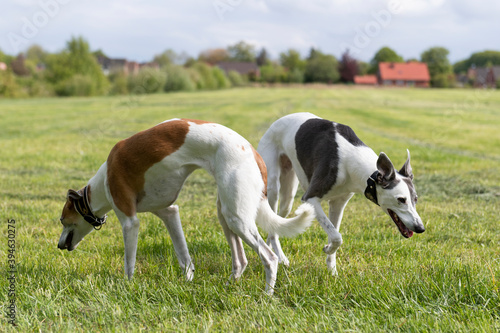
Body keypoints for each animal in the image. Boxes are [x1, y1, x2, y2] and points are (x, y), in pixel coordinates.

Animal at [57, 117, 312, 294]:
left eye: (62, 220)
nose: (59, 245)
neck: (102, 182)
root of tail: (252, 151)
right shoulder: (169, 212)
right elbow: (184, 255)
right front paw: (188, 282)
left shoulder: (130, 221)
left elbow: (129, 262)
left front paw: (127, 286)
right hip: (226, 213)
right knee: (241, 260)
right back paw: (229, 286)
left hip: (237, 217)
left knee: (269, 257)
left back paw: (267, 294)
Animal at [258, 111, 426, 272]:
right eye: (401, 199)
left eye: (415, 199)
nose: (420, 228)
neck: (351, 160)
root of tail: (276, 122)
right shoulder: (310, 198)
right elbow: (337, 236)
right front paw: (327, 250)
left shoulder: (338, 204)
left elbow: (334, 235)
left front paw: (332, 270)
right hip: (273, 185)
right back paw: (281, 258)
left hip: (288, 194)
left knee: (276, 221)